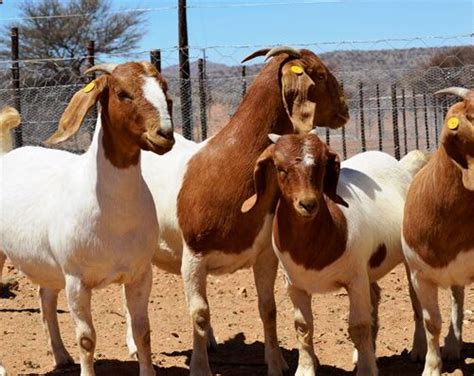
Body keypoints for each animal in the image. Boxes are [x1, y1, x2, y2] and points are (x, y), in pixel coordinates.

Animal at [0, 61, 174, 376]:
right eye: (122, 92)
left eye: (164, 89)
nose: (165, 134)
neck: (115, 214)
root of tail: (5, 156)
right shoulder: (77, 280)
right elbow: (86, 338)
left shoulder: (140, 274)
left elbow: (142, 331)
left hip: (48, 266)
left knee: (45, 299)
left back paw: (61, 356)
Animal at [174, 47, 348, 376]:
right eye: (319, 74)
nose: (345, 108)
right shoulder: (193, 255)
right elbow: (199, 313)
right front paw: (199, 367)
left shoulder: (265, 254)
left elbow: (268, 309)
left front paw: (277, 363)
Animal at [243, 132, 432, 376]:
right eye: (280, 168)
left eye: (322, 165)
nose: (308, 204)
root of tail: (401, 165)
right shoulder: (294, 285)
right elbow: (303, 327)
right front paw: (305, 369)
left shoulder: (355, 280)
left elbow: (358, 326)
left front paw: (367, 370)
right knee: (375, 296)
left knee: (415, 301)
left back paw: (418, 350)